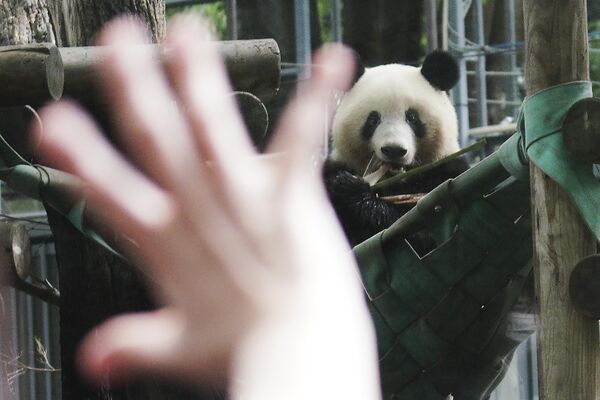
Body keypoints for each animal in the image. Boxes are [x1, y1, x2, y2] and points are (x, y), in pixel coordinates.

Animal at [324, 51, 468, 245]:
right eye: (373, 119)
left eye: (412, 118)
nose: (394, 150)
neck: (395, 180)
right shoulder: (337, 167)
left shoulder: (448, 175)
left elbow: (419, 230)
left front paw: (352, 191)